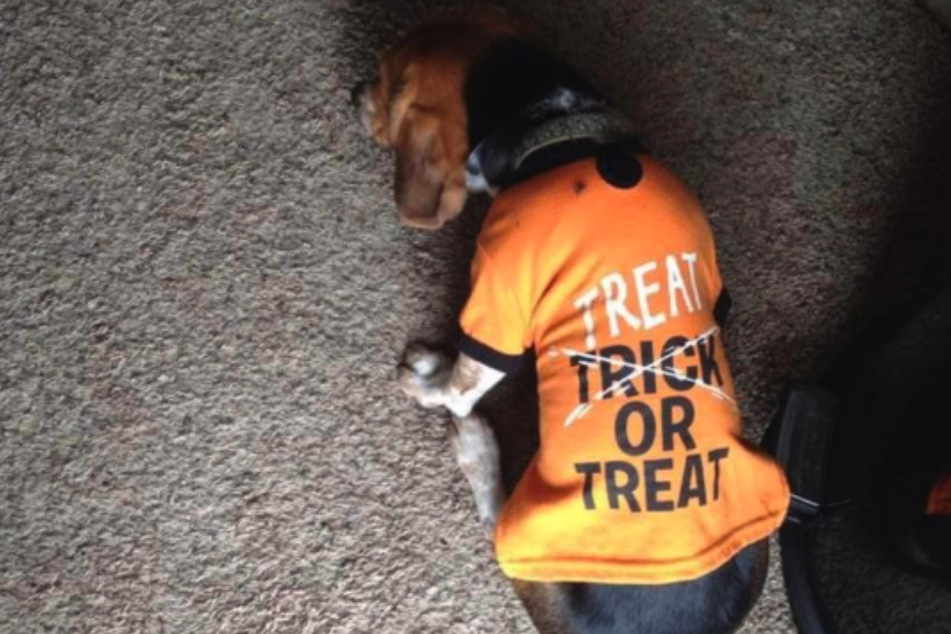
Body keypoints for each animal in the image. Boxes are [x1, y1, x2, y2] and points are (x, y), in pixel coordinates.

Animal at [356, 9, 788, 632]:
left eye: (387, 83)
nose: (353, 93)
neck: (559, 123)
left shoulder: (499, 287)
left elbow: (461, 381)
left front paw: (429, 378)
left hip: (530, 537)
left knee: (495, 523)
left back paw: (476, 449)